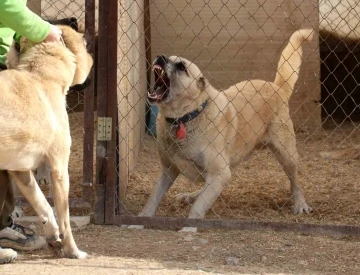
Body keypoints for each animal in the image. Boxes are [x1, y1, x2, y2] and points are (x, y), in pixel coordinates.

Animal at [128, 28, 314, 233]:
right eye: (167, 57)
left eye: (182, 67)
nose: (160, 57)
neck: (186, 117)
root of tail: (276, 87)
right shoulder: (168, 170)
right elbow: (153, 199)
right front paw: (139, 221)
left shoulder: (220, 172)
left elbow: (198, 207)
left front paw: (189, 227)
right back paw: (192, 194)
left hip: (286, 154)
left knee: (295, 181)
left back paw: (300, 203)